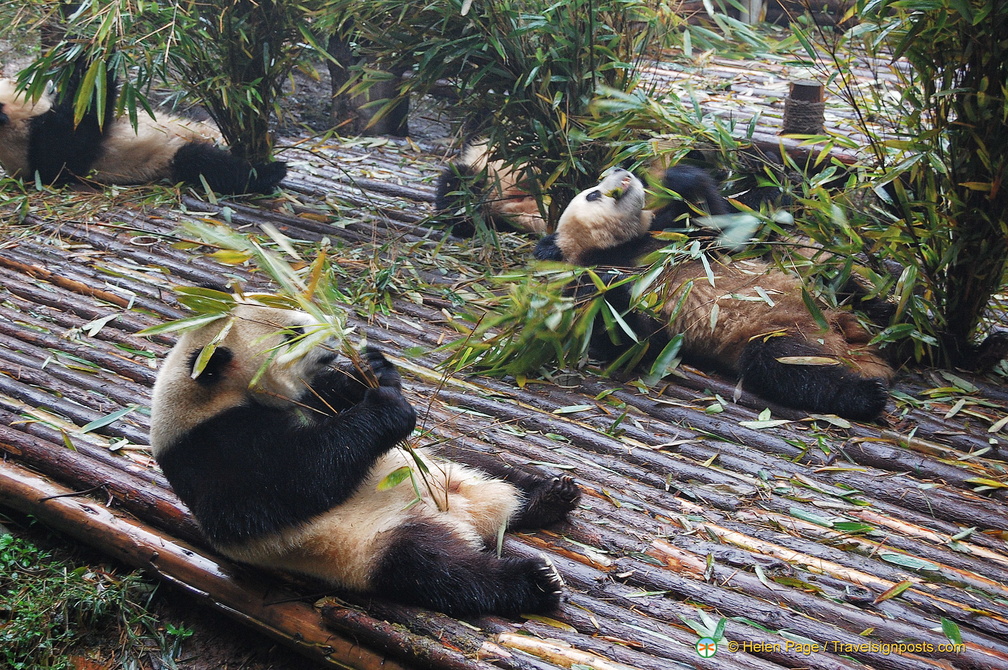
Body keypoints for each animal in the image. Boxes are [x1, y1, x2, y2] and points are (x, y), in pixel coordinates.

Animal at [0, 61, 286, 196]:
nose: (46, 84)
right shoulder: (44, 146)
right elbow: (84, 120)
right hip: (169, 159)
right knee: (208, 165)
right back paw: (271, 172)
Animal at [146, 302, 580, 616]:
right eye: (293, 333)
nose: (336, 331)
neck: (207, 394)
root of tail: (468, 517)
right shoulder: (209, 447)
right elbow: (285, 483)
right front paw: (387, 405)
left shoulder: (310, 396)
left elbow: (338, 396)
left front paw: (373, 368)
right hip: (368, 543)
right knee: (440, 570)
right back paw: (537, 581)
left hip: (439, 461)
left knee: (486, 467)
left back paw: (550, 495)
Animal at [532, 167, 895, 419]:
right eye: (593, 194)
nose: (624, 171)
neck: (620, 247)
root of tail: (848, 341)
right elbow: (631, 340)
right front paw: (611, 287)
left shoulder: (679, 239)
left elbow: (722, 226)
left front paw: (677, 176)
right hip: (781, 335)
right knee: (785, 366)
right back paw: (867, 396)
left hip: (820, 285)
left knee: (849, 285)